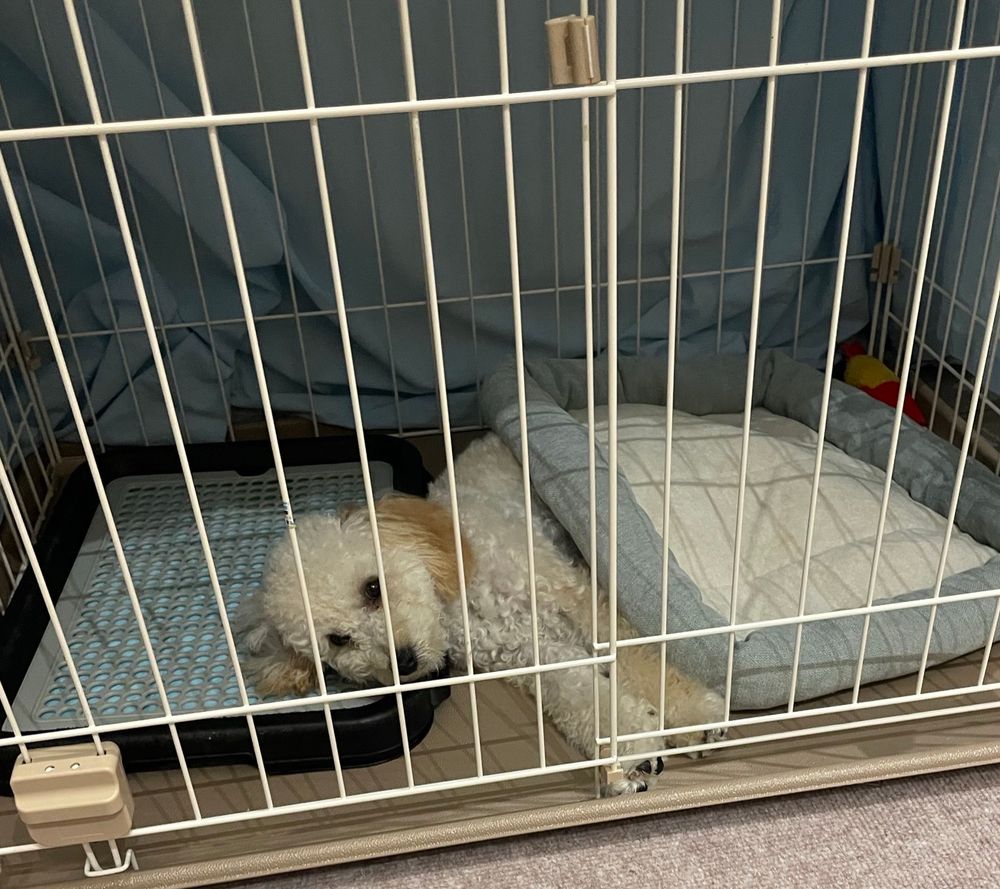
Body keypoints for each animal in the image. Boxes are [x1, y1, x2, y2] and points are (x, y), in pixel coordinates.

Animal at [240, 434, 725, 795]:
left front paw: (696, 716)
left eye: (372, 588)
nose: (405, 662)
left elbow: (643, 657)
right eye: (338, 640)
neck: (460, 599)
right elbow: (581, 696)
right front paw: (630, 753)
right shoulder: (533, 655)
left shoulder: (572, 594)